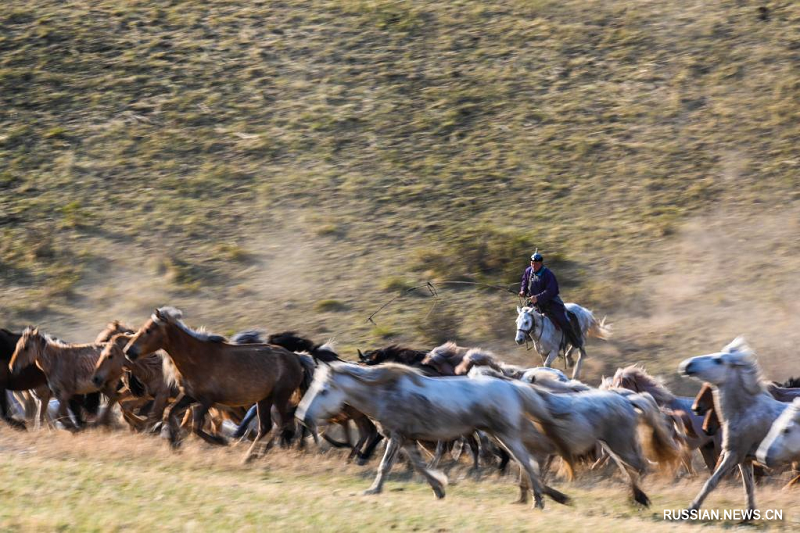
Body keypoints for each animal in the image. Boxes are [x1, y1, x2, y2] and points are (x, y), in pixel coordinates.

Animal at [125, 308, 304, 462]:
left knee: (283, 425)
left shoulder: (207, 400)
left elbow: (196, 426)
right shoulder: (190, 396)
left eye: (148, 330)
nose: (128, 351)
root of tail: (296, 357)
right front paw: (175, 444)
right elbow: (169, 413)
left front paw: (221, 441)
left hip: (280, 397)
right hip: (264, 399)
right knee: (267, 427)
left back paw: (259, 454)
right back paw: (252, 456)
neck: (196, 357)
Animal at [296, 362, 568, 508]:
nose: (302, 417)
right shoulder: (406, 439)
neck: (385, 394)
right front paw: (439, 488)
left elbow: (385, 465)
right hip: (499, 434)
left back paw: (539, 500)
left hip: (505, 434)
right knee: (525, 462)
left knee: (527, 462)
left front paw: (372, 490)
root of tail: (512, 386)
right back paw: (544, 496)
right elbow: (419, 465)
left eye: (323, 390)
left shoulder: (396, 436)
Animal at [680, 336, 792, 512]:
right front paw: (749, 514)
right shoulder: (744, 459)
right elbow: (748, 488)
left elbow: (711, 482)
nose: (687, 364)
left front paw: (690, 510)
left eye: (718, 360)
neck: (745, 411)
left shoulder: (733, 454)